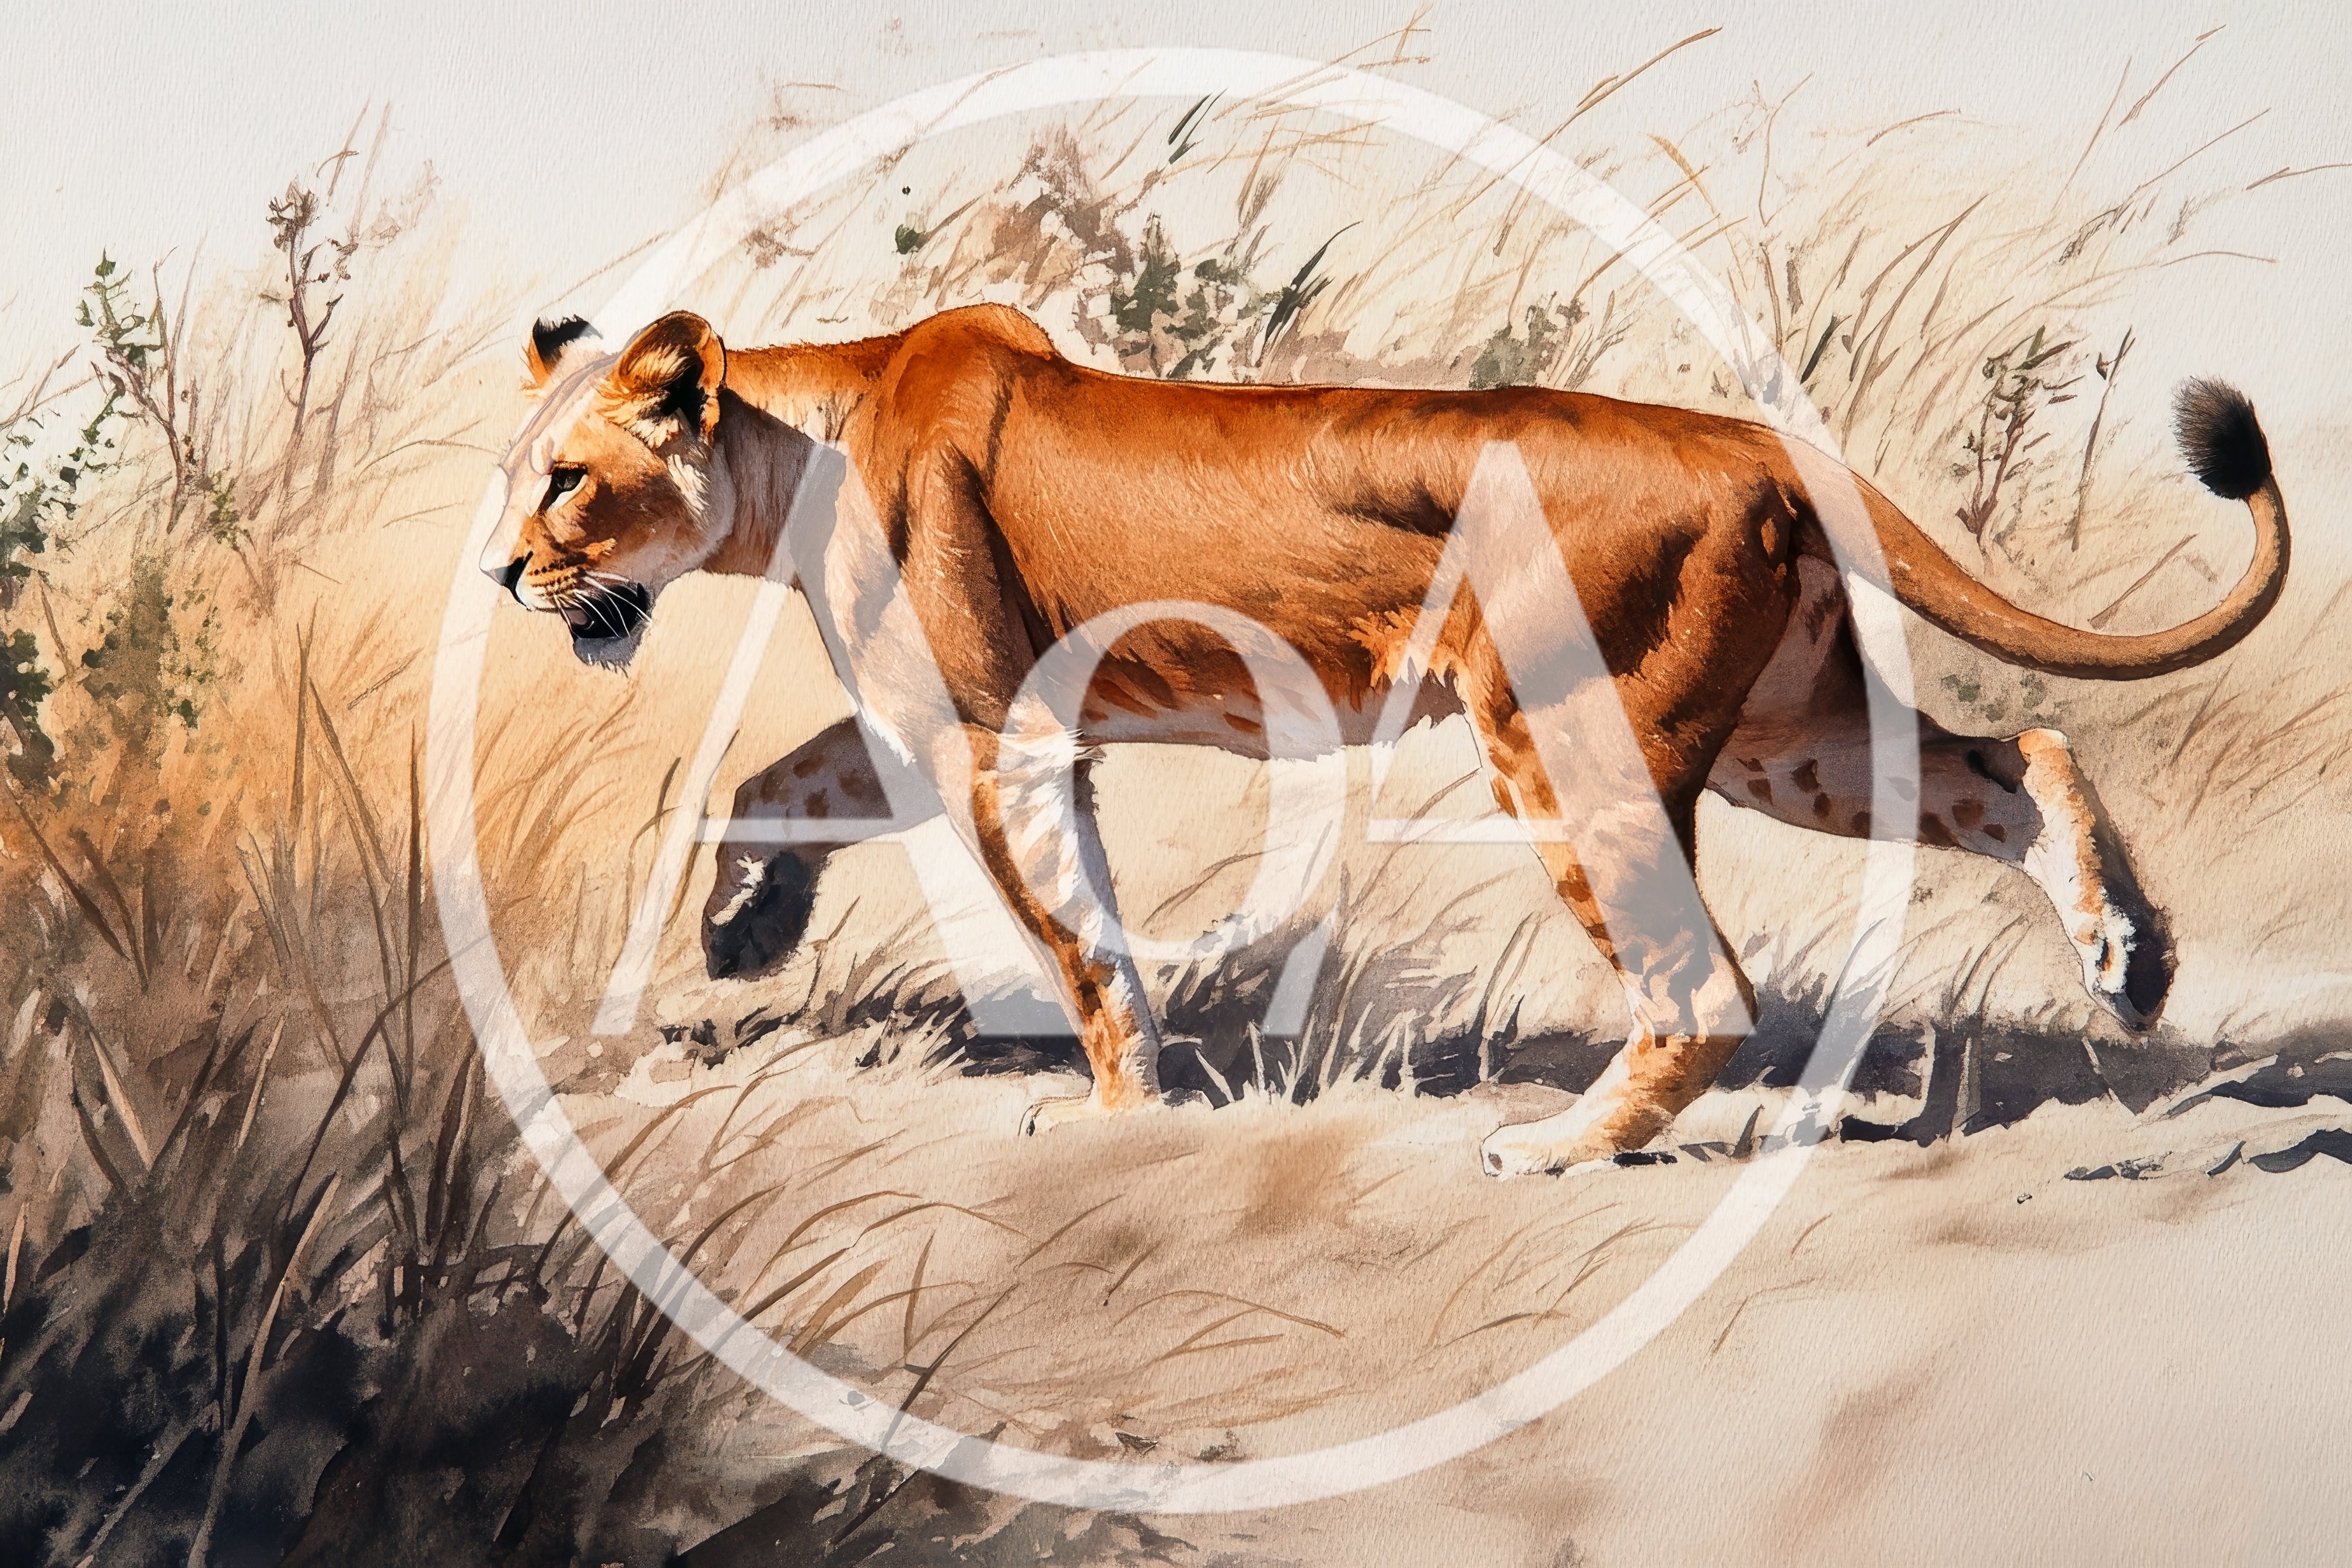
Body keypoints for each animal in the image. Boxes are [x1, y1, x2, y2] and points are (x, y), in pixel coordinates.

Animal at [482, 304, 2286, 1176]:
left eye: (567, 481)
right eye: (518, 479)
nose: (500, 573)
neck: (794, 449)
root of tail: (1759, 440)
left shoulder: (1002, 731)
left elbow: (1083, 947)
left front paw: (1117, 1118)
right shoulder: (938, 716)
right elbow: (770, 784)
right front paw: (742, 930)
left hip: (1569, 739)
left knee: (1706, 983)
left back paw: (1554, 1148)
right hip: (1790, 730)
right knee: (2016, 759)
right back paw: (2130, 961)